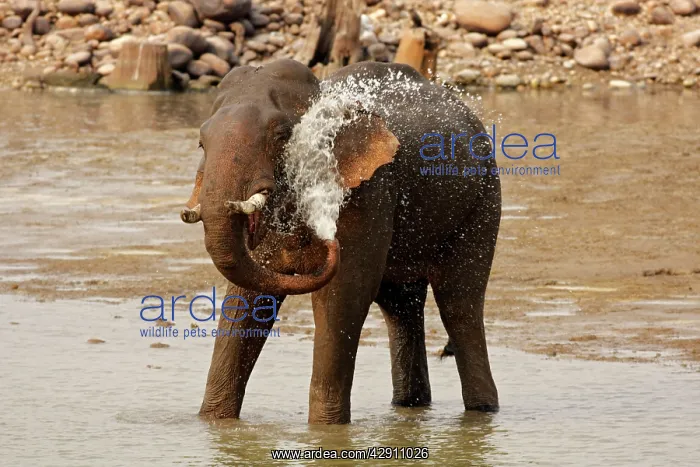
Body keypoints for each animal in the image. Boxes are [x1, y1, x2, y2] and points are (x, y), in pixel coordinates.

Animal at [181, 59, 501, 424]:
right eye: (201, 143)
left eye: (281, 136)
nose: (328, 242)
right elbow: (248, 298)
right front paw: (213, 423)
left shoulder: (369, 191)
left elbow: (343, 295)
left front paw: (326, 429)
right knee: (400, 305)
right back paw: (410, 405)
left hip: (482, 201)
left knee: (459, 303)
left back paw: (482, 411)